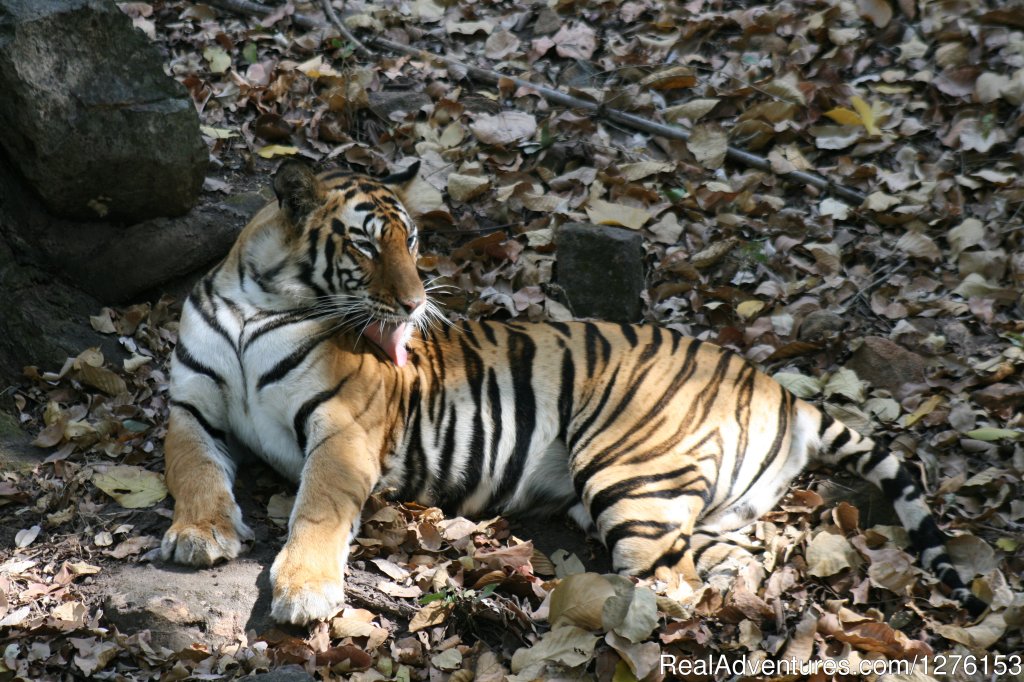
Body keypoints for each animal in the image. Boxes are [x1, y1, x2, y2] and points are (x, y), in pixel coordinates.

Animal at [163, 157, 987, 622]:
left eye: (415, 241)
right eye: (368, 244)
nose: (416, 302)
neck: (257, 301)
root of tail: (779, 388)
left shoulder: (344, 429)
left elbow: (318, 509)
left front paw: (304, 591)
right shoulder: (190, 406)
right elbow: (191, 468)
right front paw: (199, 535)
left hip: (629, 474)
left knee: (673, 587)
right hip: (699, 505)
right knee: (738, 557)